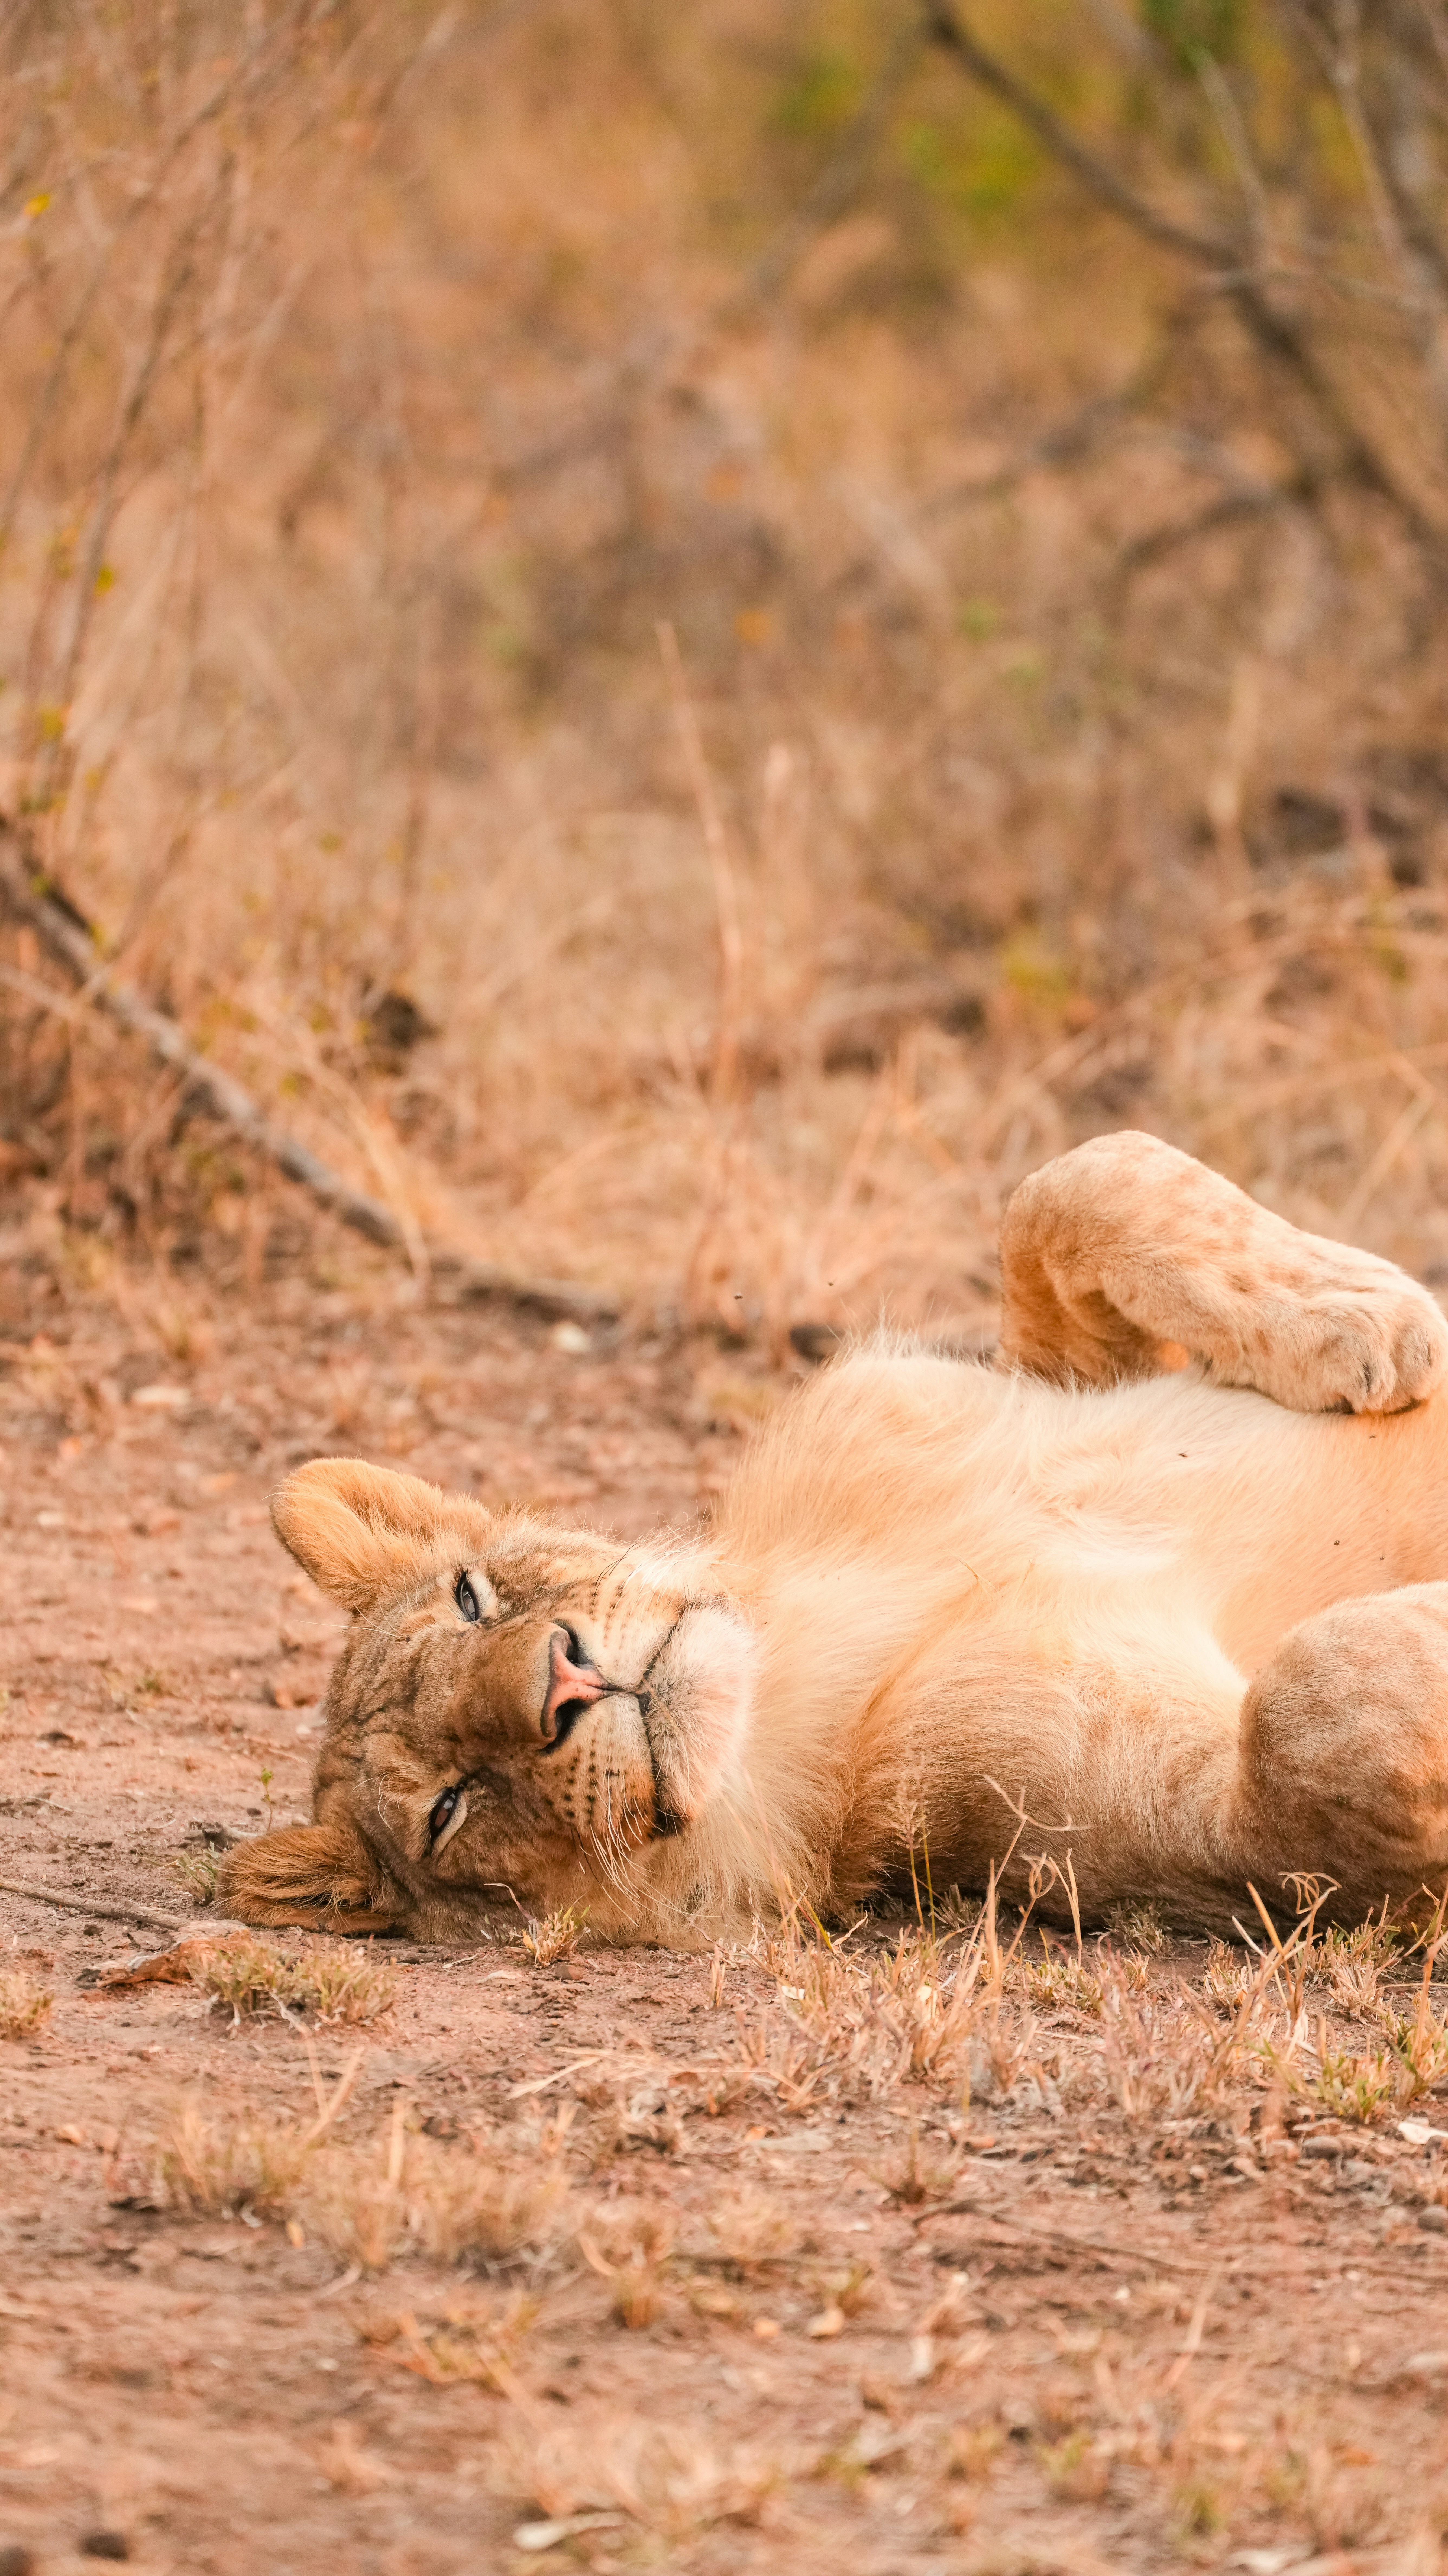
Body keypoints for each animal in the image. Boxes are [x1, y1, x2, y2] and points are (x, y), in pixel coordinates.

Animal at [218, 1131, 1448, 1946]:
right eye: (450, 1807)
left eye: (474, 1598)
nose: (564, 1681)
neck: (805, 1629)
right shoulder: (1202, 1848)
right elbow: (1307, 1713)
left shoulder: (1026, 1377)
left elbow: (1077, 1180)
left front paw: (1364, 1312)